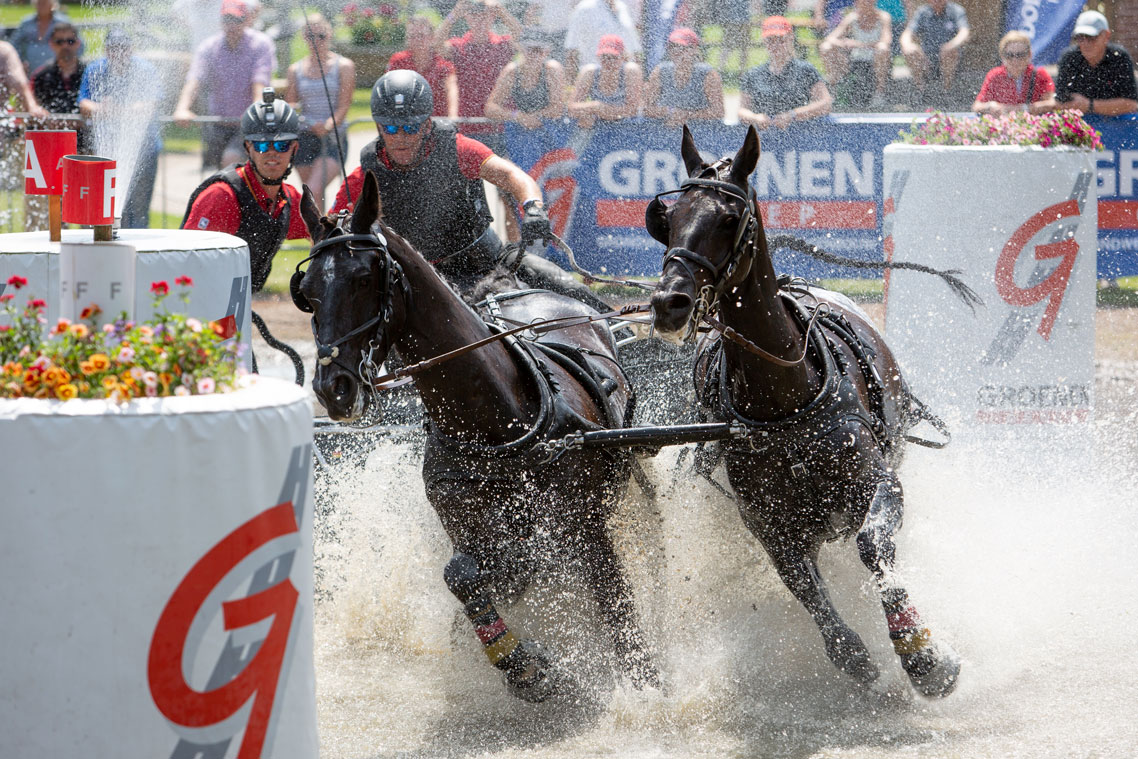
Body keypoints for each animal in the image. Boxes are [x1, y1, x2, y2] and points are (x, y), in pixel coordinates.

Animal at [293, 171, 660, 700]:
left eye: (364, 278)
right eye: (308, 291)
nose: (332, 387)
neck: (495, 419)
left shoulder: (587, 528)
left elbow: (618, 610)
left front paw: (649, 686)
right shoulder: (463, 521)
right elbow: (464, 575)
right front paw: (520, 663)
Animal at [655, 126, 965, 700]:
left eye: (729, 218)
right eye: (669, 217)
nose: (669, 302)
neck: (785, 401)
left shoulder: (880, 483)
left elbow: (873, 545)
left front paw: (925, 657)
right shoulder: (769, 524)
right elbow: (804, 587)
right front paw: (853, 654)